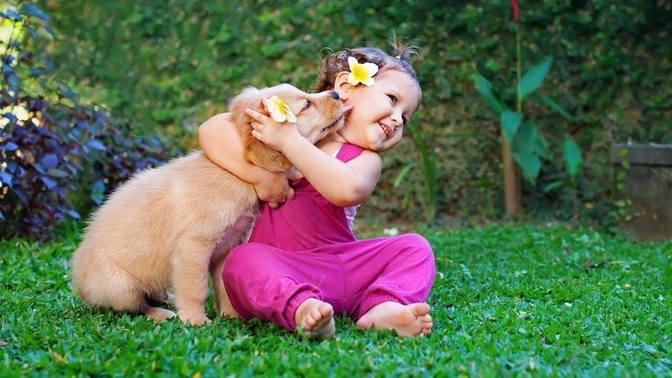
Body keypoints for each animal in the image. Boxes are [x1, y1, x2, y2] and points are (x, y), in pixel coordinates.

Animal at [71, 83, 346, 324]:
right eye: (306, 104)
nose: (336, 93)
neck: (234, 174)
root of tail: (79, 284)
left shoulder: (228, 245)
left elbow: (223, 284)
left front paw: (231, 316)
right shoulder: (194, 246)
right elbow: (196, 288)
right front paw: (196, 320)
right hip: (120, 286)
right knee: (137, 306)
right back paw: (163, 313)